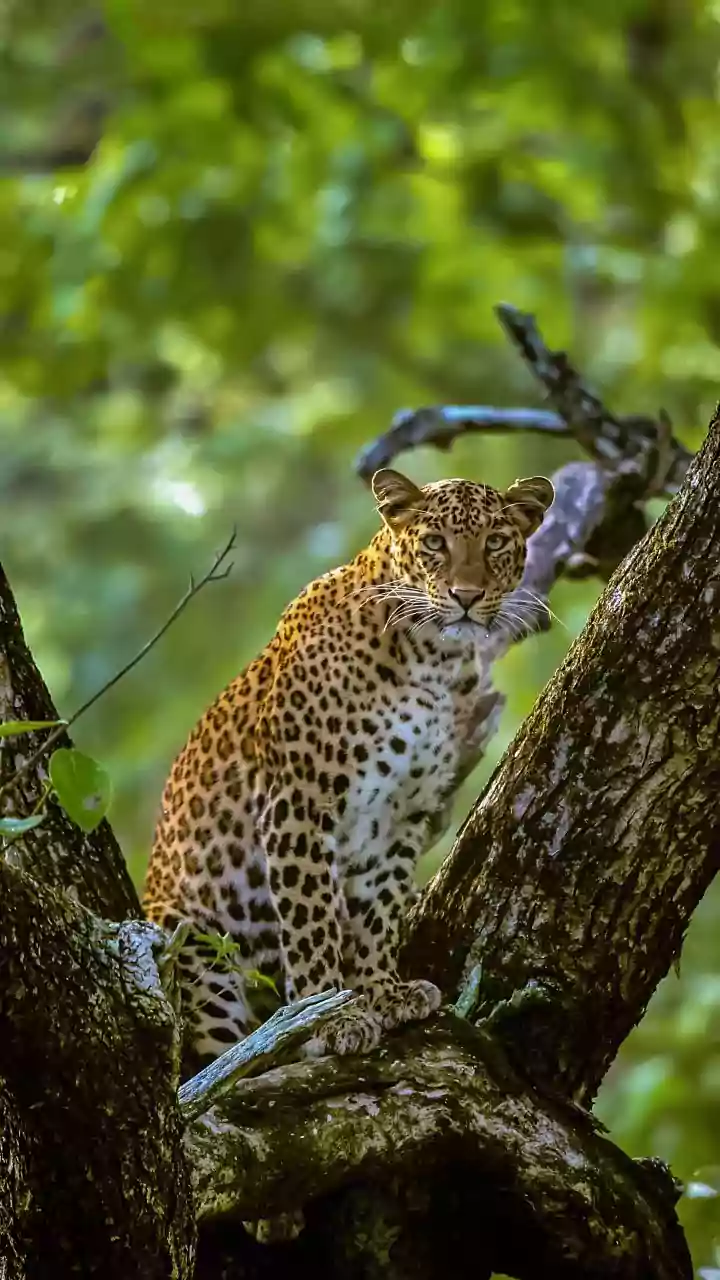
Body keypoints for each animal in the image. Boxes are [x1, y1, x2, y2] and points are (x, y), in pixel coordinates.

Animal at [143, 467, 554, 1070]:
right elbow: (311, 922)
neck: (431, 658)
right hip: (193, 945)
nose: (467, 597)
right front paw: (330, 1015)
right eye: (435, 543)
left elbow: (376, 910)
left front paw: (383, 991)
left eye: (496, 542)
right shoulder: (296, 804)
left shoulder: (403, 812)